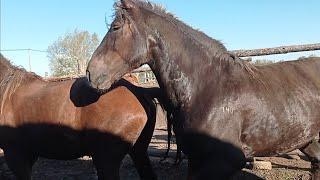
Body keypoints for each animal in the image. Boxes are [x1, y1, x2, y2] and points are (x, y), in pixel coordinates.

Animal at [86, 0, 320, 179]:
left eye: (115, 27)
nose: (91, 73)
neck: (206, 88)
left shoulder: (226, 161)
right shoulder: (195, 158)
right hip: (307, 139)